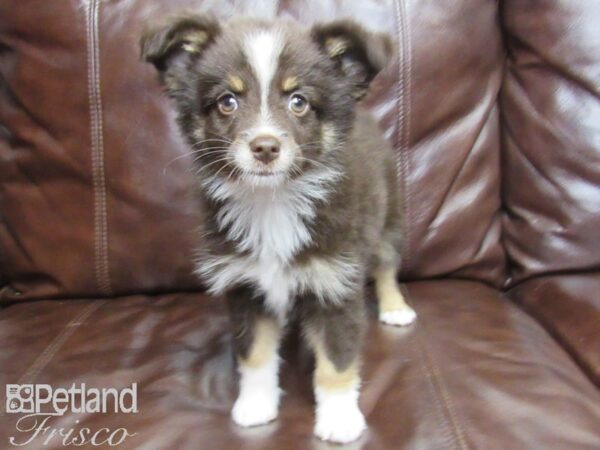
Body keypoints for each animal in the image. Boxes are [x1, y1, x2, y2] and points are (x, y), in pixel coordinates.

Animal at [141, 13, 414, 442]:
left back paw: (395, 308)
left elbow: (336, 361)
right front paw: (255, 405)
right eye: (227, 101)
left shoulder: (336, 284)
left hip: (389, 222)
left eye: (298, 101)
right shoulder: (244, 286)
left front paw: (339, 418)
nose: (265, 146)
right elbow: (254, 355)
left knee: (387, 266)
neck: (273, 204)